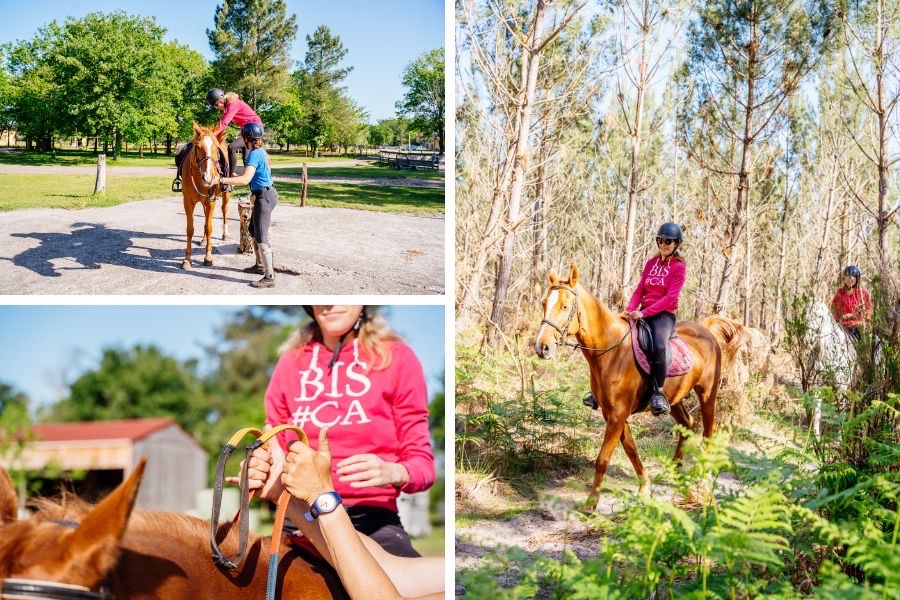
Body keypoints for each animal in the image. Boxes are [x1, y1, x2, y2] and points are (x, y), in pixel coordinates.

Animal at [182, 122, 232, 270]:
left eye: (216, 148)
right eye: (198, 147)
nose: (208, 178)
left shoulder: (211, 201)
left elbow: (209, 228)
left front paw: (208, 257)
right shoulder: (188, 202)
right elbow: (190, 229)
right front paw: (187, 259)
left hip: (225, 195)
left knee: (224, 210)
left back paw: (225, 234)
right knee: (205, 218)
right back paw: (204, 240)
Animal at [536, 264, 744, 510]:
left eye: (565, 306)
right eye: (544, 303)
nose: (542, 347)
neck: (611, 350)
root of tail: (705, 330)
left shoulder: (618, 413)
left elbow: (603, 459)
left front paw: (591, 504)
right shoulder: (612, 413)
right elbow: (630, 448)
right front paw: (644, 487)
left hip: (707, 394)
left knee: (708, 431)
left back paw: (705, 478)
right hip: (673, 398)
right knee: (687, 422)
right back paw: (673, 471)